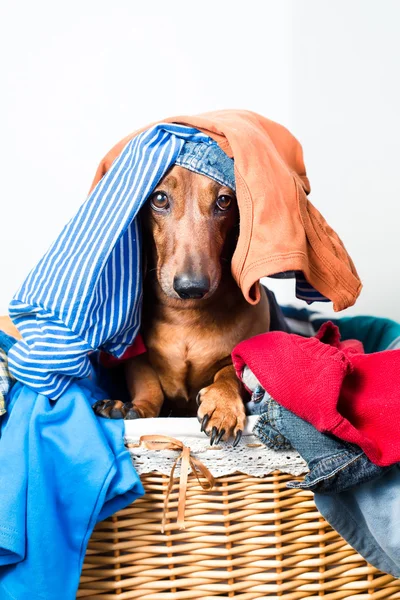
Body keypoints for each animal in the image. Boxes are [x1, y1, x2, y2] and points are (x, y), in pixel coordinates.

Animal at [92, 165, 270, 446]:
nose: (191, 287)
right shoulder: (137, 358)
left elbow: (229, 372)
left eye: (224, 201)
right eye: (159, 198)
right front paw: (135, 408)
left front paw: (223, 405)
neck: (185, 315)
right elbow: (148, 384)